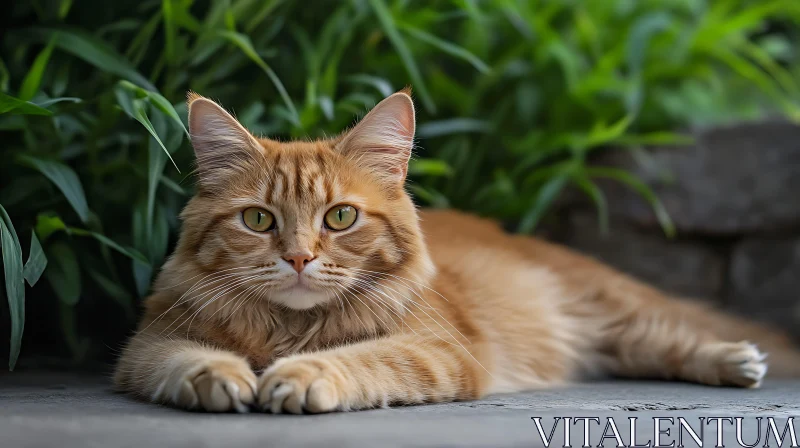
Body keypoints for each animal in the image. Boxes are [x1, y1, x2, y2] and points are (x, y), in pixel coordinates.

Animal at [114, 90, 800, 412]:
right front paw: (224, 378)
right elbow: (188, 360)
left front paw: (300, 376)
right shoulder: (149, 344)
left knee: (672, 333)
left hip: (612, 307)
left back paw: (736, 360)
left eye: (340, 217)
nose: (300, 259)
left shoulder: (436, 348)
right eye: (258, 220)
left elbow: (357, 360)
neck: (288, 329)